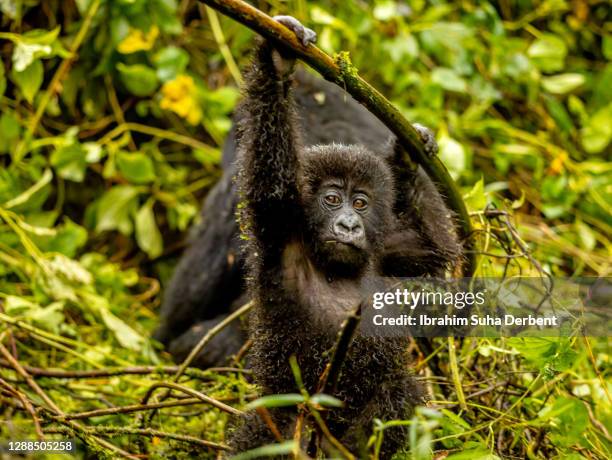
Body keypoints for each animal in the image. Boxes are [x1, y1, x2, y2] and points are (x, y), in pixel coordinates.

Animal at [230, 16, 426, 458]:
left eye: (362, 203)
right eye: (333, 200)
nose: (349, 226)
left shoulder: (390, 249)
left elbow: (435, 249)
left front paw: (407, 155)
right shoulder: (280, 225)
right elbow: (271, 171)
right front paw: (278, 60)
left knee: (398, 388)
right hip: (284, 416)